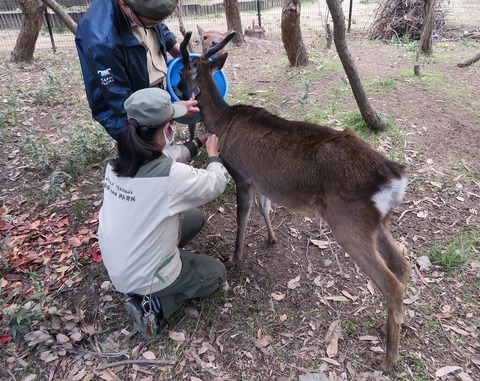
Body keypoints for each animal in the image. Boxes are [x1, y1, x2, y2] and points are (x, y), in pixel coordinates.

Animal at [178, 31, 410, 370]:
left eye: (182, 71)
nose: (177, 91)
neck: (222, 123)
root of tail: (395, 178)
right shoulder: (260, 180)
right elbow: (265, 207)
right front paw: (271, 238)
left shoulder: (241, 174)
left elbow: (243, 216)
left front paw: (234, 258)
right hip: (378, 223)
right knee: (403, 267)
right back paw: (385, 327)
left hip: (349, 223)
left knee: (392, 283)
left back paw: (389, 358)